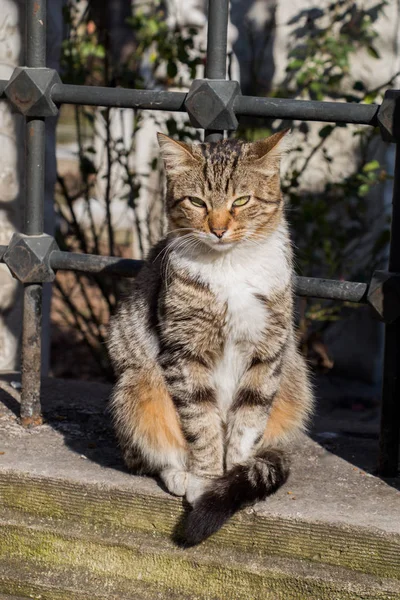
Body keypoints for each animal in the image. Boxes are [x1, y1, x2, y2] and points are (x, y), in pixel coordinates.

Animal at [108, 131, 314, 544]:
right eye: (197, 202)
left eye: (242, 201)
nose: (218, 229)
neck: (230, 266)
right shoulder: (184, 351)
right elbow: (201, 422)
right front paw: (206, 480)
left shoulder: (268, 349)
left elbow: (248, 420)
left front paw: (234, 476)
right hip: (137, 381)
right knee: (150, 452)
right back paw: (178, 474)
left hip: (295, 374)